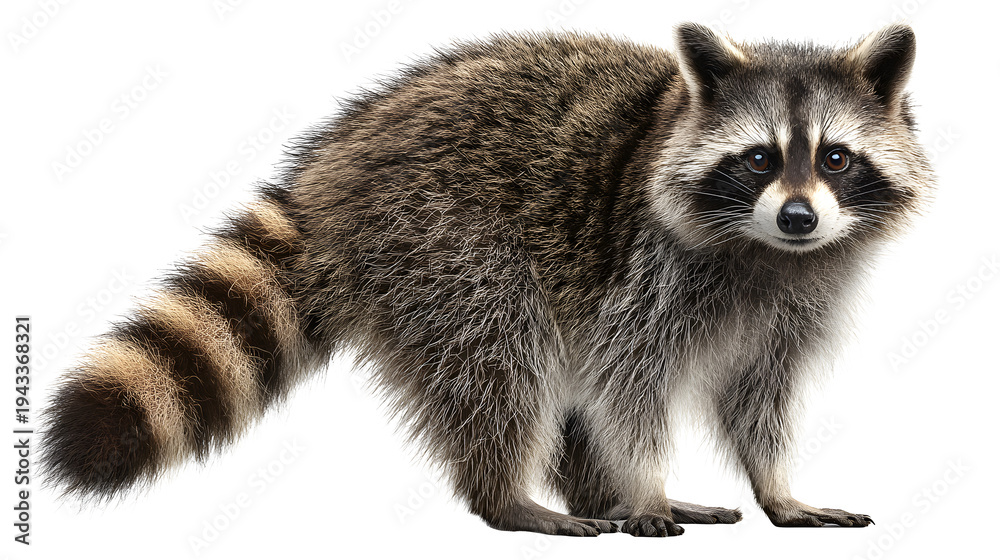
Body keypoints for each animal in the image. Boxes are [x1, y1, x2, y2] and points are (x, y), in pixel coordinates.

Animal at [41, 23, 932, 537]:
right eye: (756, 160)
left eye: (836, 158)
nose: (799, 218)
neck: (765, 250)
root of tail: (339, 158)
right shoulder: (648, 269)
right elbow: (627, 386)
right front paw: (644, 487)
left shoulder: (799, 297)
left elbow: (758, 397)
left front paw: (777, 485)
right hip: (440, 244)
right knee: (499, 358)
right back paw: (511, 496)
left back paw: (593, 496)